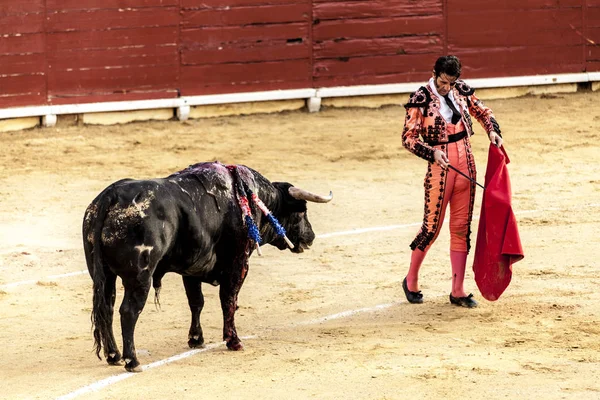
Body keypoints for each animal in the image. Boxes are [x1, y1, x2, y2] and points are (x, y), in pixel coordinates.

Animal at [81, 162, 330, 372]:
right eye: (301, 211)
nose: (311, 237)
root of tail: (111, 195)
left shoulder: (191, 269)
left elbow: (196, 303)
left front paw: (196, 339)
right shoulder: (238, 264)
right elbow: (228, 301)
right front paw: (233, 341)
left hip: (104, 276)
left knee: (106, 308)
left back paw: (113, 355)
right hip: (140, 277)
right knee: (128, 311)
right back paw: (132, 361)